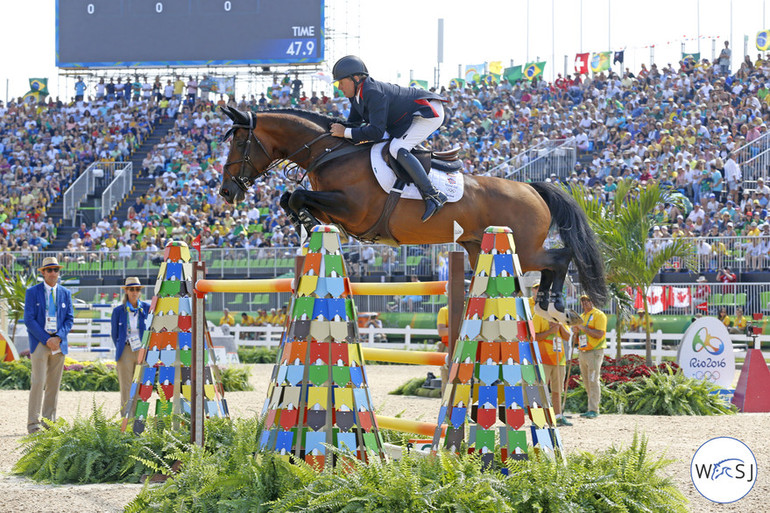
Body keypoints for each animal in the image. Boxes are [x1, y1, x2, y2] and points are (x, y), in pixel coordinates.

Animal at [218, 106, 608, 318]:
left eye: (239, 141)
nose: (226, 192)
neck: (329, 151)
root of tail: (532, 188)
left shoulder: (353, 209)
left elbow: (298, 196)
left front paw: (308, 223)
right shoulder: (334, 207)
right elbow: (291, 198)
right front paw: (306, 224)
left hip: (522, 248)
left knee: (559, 258)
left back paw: (552, 303)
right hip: (478, 247)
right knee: (552, 262)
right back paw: (545, 303)